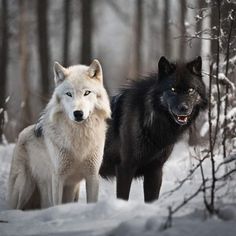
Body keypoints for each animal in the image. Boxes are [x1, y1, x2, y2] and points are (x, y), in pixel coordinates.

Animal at [7, 60, 110, 209]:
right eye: (69, 94)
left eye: (87, 93)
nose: (78, 113)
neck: (79, 138)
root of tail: (21, 134)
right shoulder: (57, 178)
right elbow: (57, 204)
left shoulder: (92, 176)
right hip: (24, 186)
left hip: (71, 191)